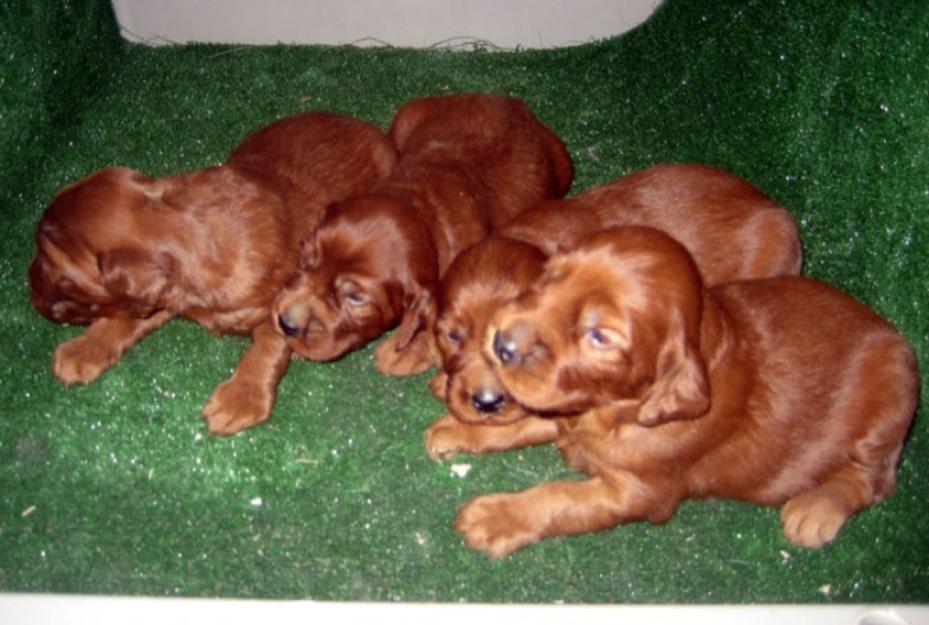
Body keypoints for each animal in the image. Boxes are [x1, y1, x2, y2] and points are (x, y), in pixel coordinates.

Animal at [28, 112, 398, 434]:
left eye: (58, 273)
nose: (29, 290)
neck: (182, 225)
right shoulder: (168, 299)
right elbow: (125, 317)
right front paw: (83, 351)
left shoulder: (282, 302)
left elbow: (269, 346)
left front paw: (240, 399)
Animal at [268, 92, 572, 376]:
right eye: (306, 258)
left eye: (356, 299)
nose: (285, 323)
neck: (417, 206)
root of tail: (516, 105)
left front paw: (401, 354)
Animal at [452, 227, 920, 560]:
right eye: (549, 277)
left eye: (599, 336)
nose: (501, 343)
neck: (617, 410)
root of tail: (894, 336)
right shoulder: (570, 410)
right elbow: (532, 419)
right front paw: (462, 429)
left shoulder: (640, 493)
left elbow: (561, 498)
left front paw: (498, 516)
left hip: (889, 399)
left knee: (875, 481)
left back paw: (817, 509)